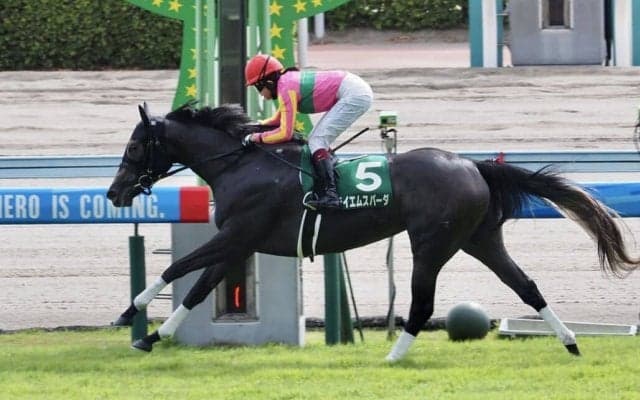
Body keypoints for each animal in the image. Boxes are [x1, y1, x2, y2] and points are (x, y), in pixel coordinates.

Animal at [107, 103, 639, 361]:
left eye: (133, 147)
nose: (114, 193)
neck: (241, 165)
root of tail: (472, 165)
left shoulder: (238, 235)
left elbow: (178, 269)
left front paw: (128, 314)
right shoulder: (240, 242)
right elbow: (198, 287)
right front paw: (150, 337)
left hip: (432, 243)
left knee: (422, 304)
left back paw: (394, 357)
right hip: (480, 239)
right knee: (527, 286)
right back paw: (570, 343)